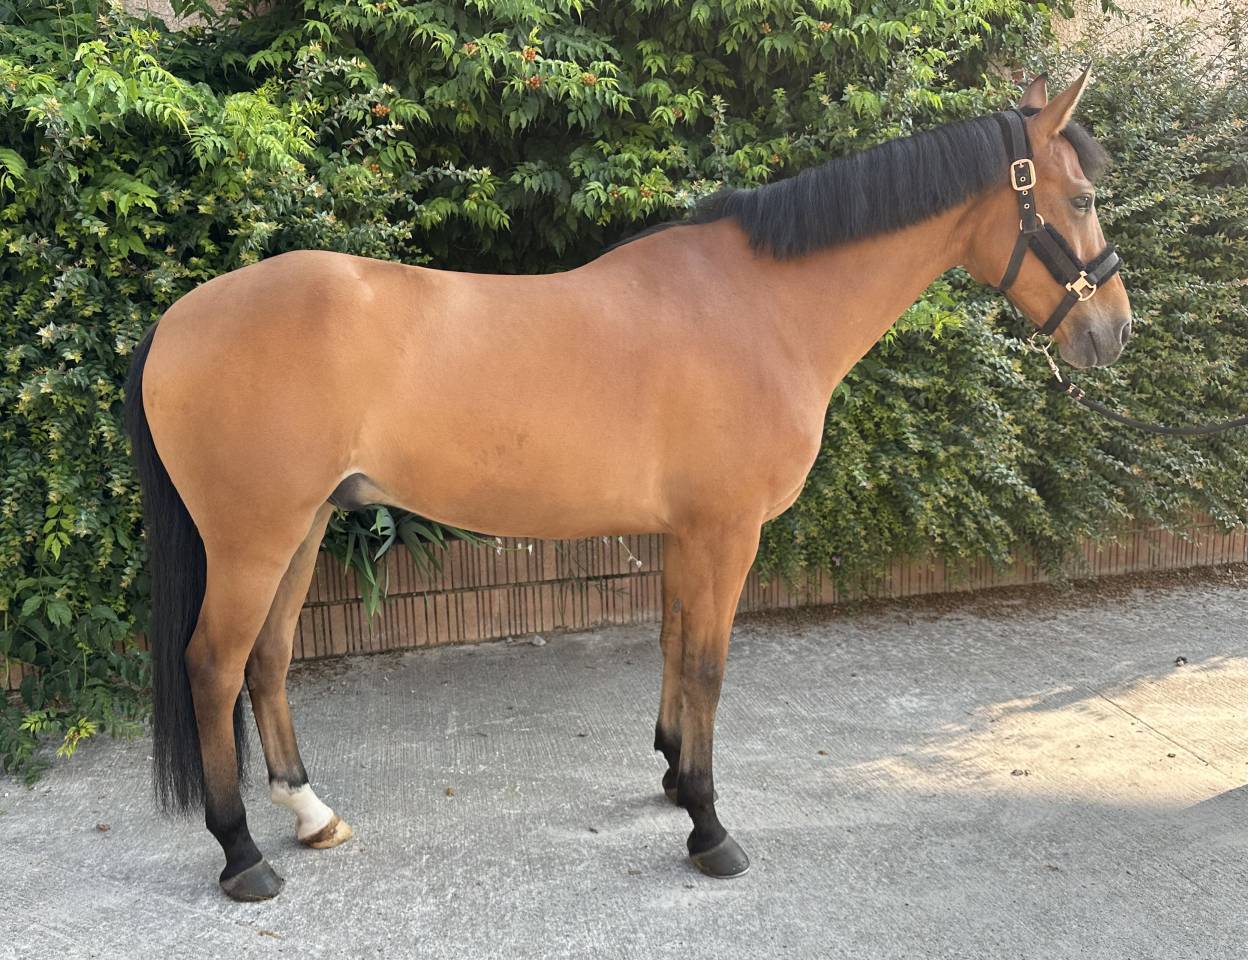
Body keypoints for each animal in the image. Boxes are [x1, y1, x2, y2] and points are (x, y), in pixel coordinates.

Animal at [124, 70, 1131, 901]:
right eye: (1082, 198)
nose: (1115, 331)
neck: (759, 308)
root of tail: (177, 320)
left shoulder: (687, 534)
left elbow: (674, 643)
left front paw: (676, 779)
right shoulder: (727, 531)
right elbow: (710, 664)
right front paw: (712, 831)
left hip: (299, 531)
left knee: (267, 662)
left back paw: (310, 815)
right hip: (254, 537)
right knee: (213, 666)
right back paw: (242, 857)